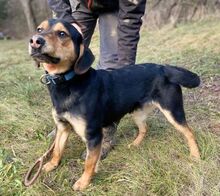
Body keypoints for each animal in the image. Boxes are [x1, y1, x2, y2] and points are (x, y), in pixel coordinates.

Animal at [28, 19, 200, 191]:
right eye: (39, 29)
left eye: (62, 33)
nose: (35, 40)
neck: (67, 84)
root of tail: (164, 68)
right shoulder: (62, 127)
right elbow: (57, 150)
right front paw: (51, 165)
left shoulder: (93, 135)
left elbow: (89, 163)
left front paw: (83, 182)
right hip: (137, 112)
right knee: (144, 128)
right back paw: (135, 144)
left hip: (173, 112)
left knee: (189, 132)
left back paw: (195, 155)